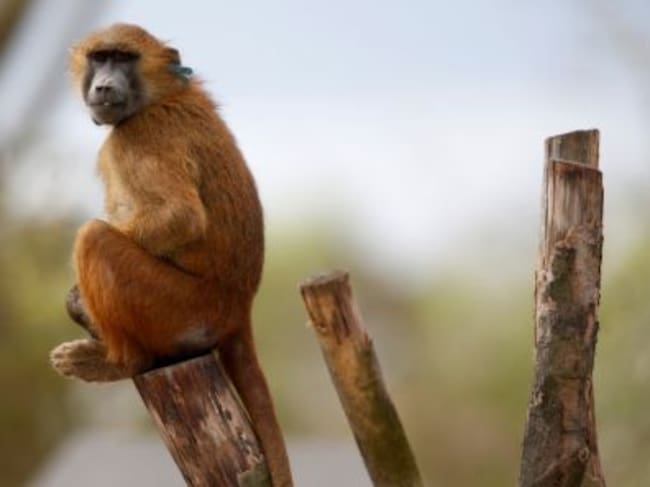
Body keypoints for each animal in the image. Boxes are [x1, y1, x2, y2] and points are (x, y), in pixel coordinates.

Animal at [49, 23, 293, 486]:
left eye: (123, 58)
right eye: (99, 58)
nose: (104, 86)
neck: (161, 95)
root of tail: (239, 307)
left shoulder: (139, 136)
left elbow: (181, 217)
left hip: (180, 309)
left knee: (94, 237)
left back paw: (124, 363)